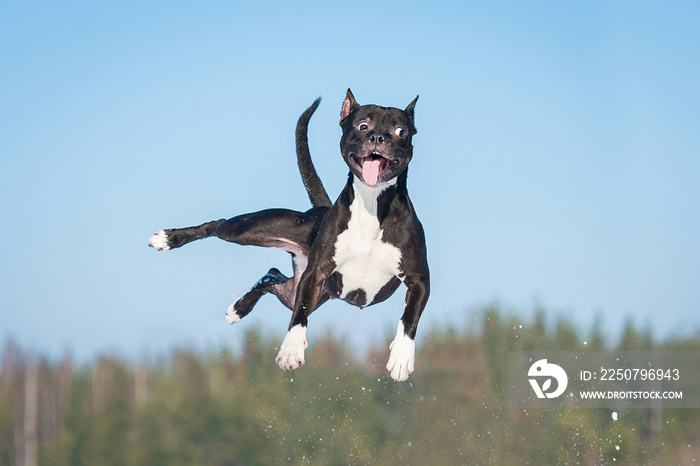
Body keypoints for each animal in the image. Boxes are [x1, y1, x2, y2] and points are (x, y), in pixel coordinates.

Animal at [149, 91, 426, 382]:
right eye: (363, 125)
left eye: (400, 131)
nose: (378, 138)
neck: (372, 204)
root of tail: (321, 209)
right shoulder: (315, 273)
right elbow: (299, 316)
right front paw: (291, 350)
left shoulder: (419, 281)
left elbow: (409, 318)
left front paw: (401, 357)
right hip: (247, 230)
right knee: (217, 225)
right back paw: (168, 240)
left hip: (296, 289)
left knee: (271, 275)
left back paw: (238, 308)